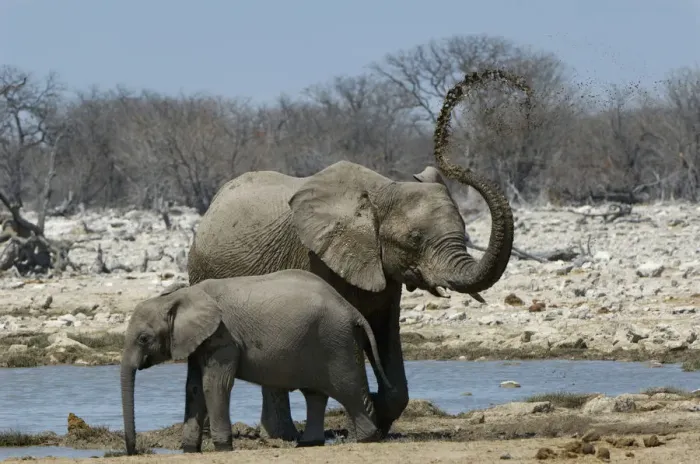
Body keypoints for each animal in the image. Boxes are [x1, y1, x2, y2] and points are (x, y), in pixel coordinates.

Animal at [120, 269, 393, 455]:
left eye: (144, 339)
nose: (134, 452)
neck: (178, 296)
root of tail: (352, 311)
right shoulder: (199, 341)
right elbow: (194, 388)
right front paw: (189, 449)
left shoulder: (223, 338)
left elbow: (214, 386)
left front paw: (223, 447)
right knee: (315, 394)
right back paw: (309, 443)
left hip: (336, 342)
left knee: (348, 389)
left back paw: (366, 438)